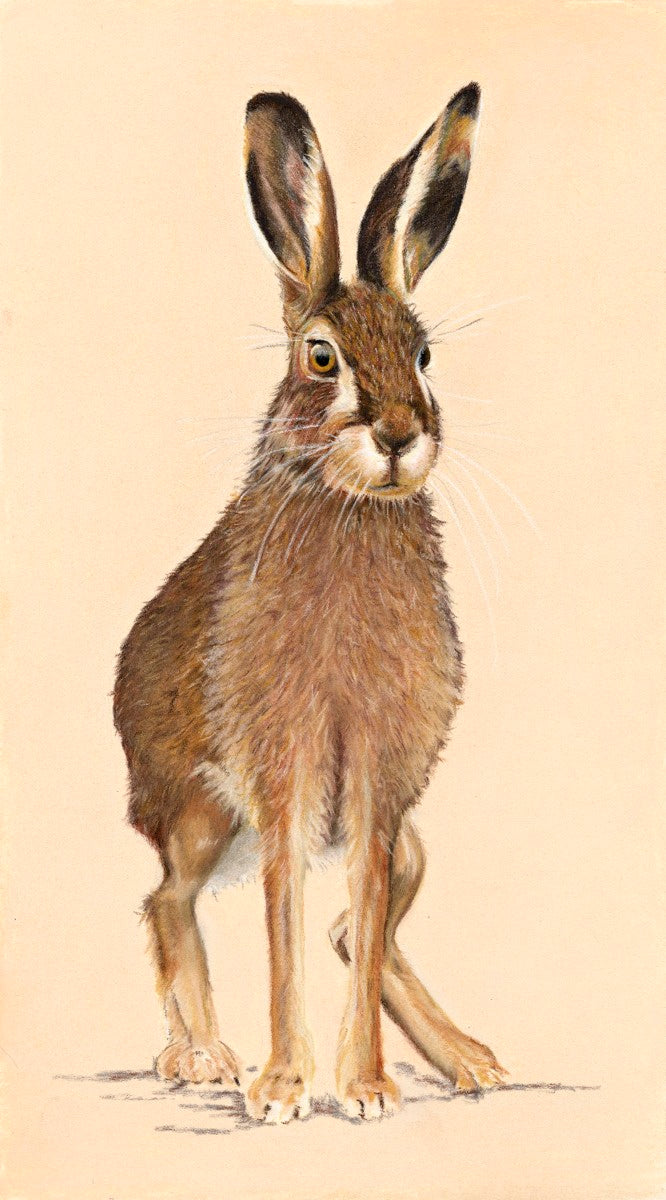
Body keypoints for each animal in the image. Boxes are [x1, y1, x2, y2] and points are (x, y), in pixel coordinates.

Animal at [113, 83, 506, 1124]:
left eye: (423, 354)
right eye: (320, 358)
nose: (402, 434)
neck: (347, 506)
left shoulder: (378, 778)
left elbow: (354, 922)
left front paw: (363, 1087)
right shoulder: (280, 764)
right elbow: (280, 923)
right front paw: (284, 1087)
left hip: (409, 838)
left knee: (348, 928)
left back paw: (469, 1060)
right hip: (201, 816)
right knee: (168, 902)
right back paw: (202, 1057)